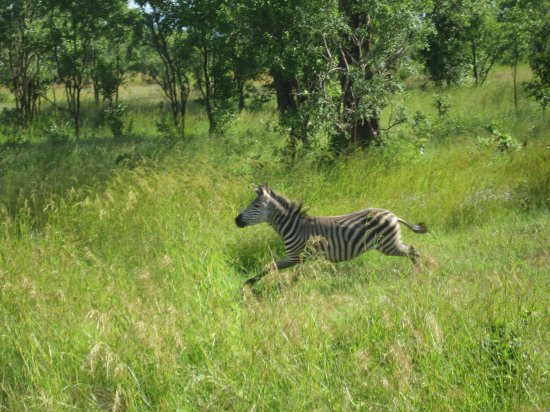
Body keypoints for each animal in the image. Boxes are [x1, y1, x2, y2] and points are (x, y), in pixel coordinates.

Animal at [235, 185, 430, 284]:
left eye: (256, 206)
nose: (236, 220)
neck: (294, 227)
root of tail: (393, 215)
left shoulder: (295, 256)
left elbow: (271, 267)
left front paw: (249, 284)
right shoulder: (302, 258)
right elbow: (290, 273)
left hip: (388, 245)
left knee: (412, 250)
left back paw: (420, 272)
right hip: (391, 243)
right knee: (412, 250)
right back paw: (420, 271)